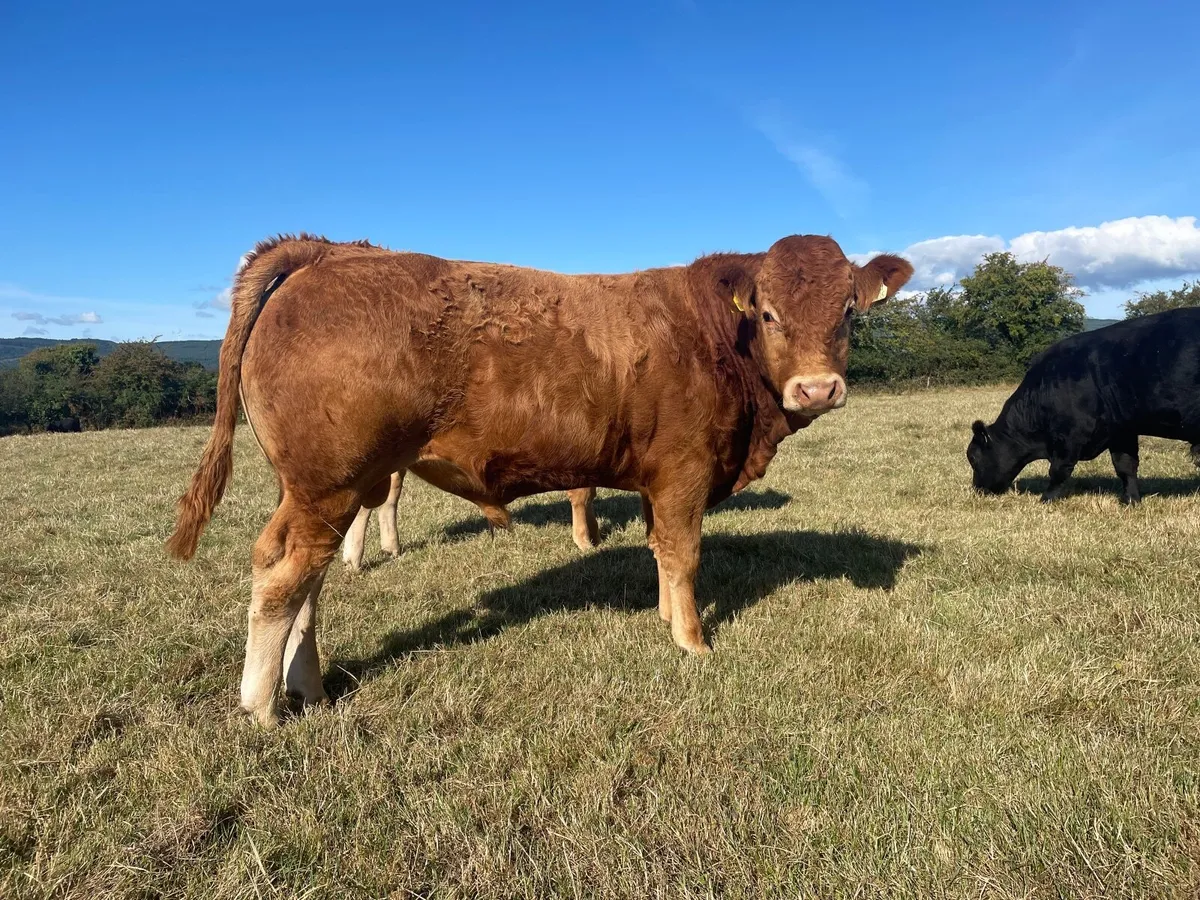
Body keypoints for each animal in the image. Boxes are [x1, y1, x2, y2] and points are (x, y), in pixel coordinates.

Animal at [341, 472, 598, 570]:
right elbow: (583, 491)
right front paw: (584, 541)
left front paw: (594, 534)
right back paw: (354, 560)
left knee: (389, 495)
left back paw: (390, 547)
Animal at [968, 307, 1200, 503]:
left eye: (973, 458)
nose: (977, 490)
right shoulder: (1121, 431)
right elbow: (1126, 466)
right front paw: (1131, 501)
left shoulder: (1070, 435)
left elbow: (1058, 471)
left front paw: (1046, 500)